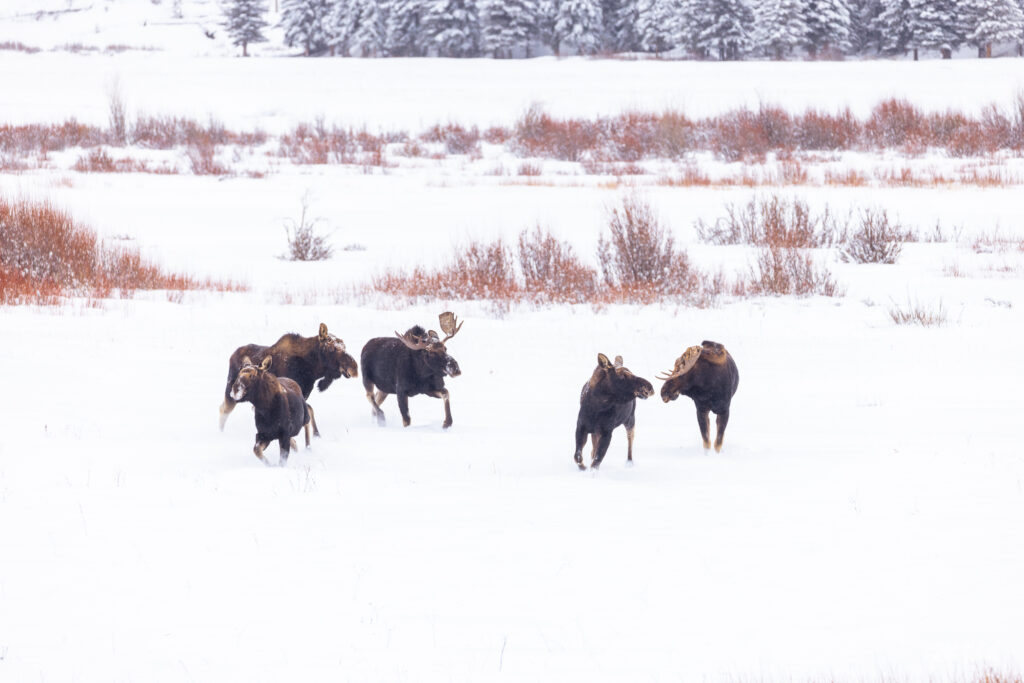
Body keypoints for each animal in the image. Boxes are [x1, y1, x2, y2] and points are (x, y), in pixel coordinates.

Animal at [218, 321, 358, 438]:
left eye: (344, 346)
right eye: (332, 348)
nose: (354, 368)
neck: (312, 368)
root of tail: (232, 355)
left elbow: (309, 411)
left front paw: (316, 434)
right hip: (231, 391)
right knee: (224, 410)